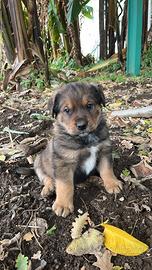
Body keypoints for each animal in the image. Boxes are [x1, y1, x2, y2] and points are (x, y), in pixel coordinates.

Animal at [34, 82, 122, 217]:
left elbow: (107, 169)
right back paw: (48, 188)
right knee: (45, 177)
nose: (82, 125)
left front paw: (112, 183)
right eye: (66, 110)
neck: (85, 139)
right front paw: (63, 205)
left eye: (90, 105)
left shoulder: (104, 151)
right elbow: (65, 185)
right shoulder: (64, 163)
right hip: (38, 162)